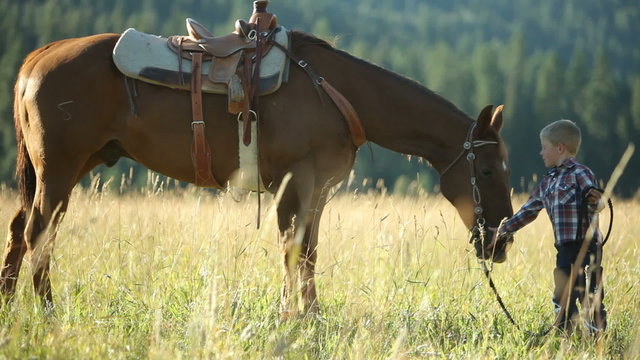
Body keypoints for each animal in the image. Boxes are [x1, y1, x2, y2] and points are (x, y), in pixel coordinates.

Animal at [1, 30, 510, 316]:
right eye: (486, 169)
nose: (500, 241)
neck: (338, 93)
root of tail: (38, 58)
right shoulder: (295, 181)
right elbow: (294, 250)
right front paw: (296, 319)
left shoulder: (316, 190)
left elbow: (307, 251)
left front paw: (307, 316)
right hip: (60, 168)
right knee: (38, 231)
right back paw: (47, 311)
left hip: (65, 169)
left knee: (21, 228)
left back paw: (10, 307)